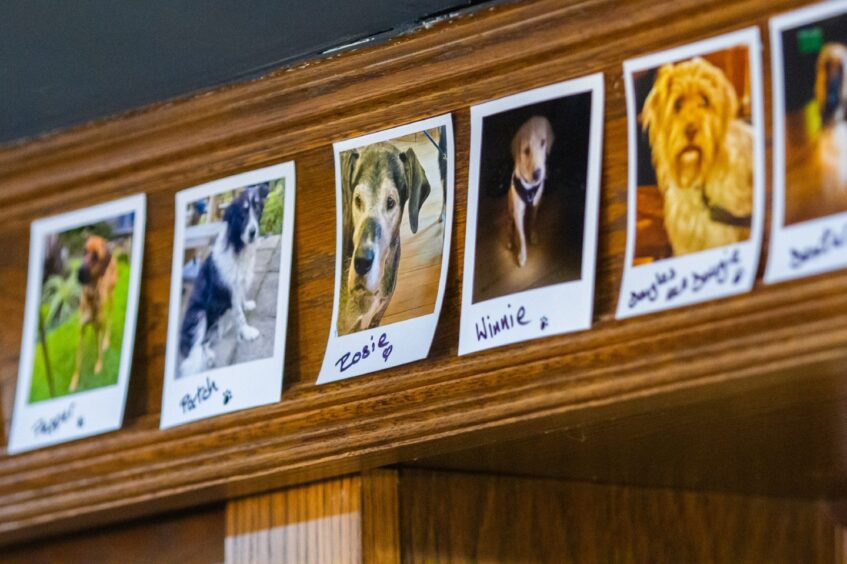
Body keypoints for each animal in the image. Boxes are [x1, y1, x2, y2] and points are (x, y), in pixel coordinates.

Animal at [71, 236, 117, 390]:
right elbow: (78, 360)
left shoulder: (97, 325)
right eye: (83, 251)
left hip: (110, 298)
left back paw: (106, 341)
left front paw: (99, 365)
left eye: (96, 256)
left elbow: (98, 349)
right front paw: (74, 380)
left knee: (108, 321)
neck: (91, 296)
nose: (78, 272)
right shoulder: (80, 331)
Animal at [510, 115, 556, 268]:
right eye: (526, 150)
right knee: (510, 225)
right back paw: (511, 240)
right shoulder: (518, 211)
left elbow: (533, 220)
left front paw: (533, 234)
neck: (529, 186)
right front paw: (522, 254)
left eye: (543, 142)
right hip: (510, 208)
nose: (537, 174)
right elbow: (521, 236)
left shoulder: (536, 204)